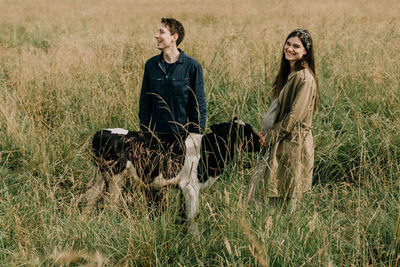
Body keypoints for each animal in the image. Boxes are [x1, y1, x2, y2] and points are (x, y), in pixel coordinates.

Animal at [84, 119, 260, 226]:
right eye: (241, 132)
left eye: (249, 128)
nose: (261, 141)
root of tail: (101, 132)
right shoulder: (191, 186)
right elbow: (193, 216)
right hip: (115, 177)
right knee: (110, 203)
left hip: (100, 175)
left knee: (91, 196)